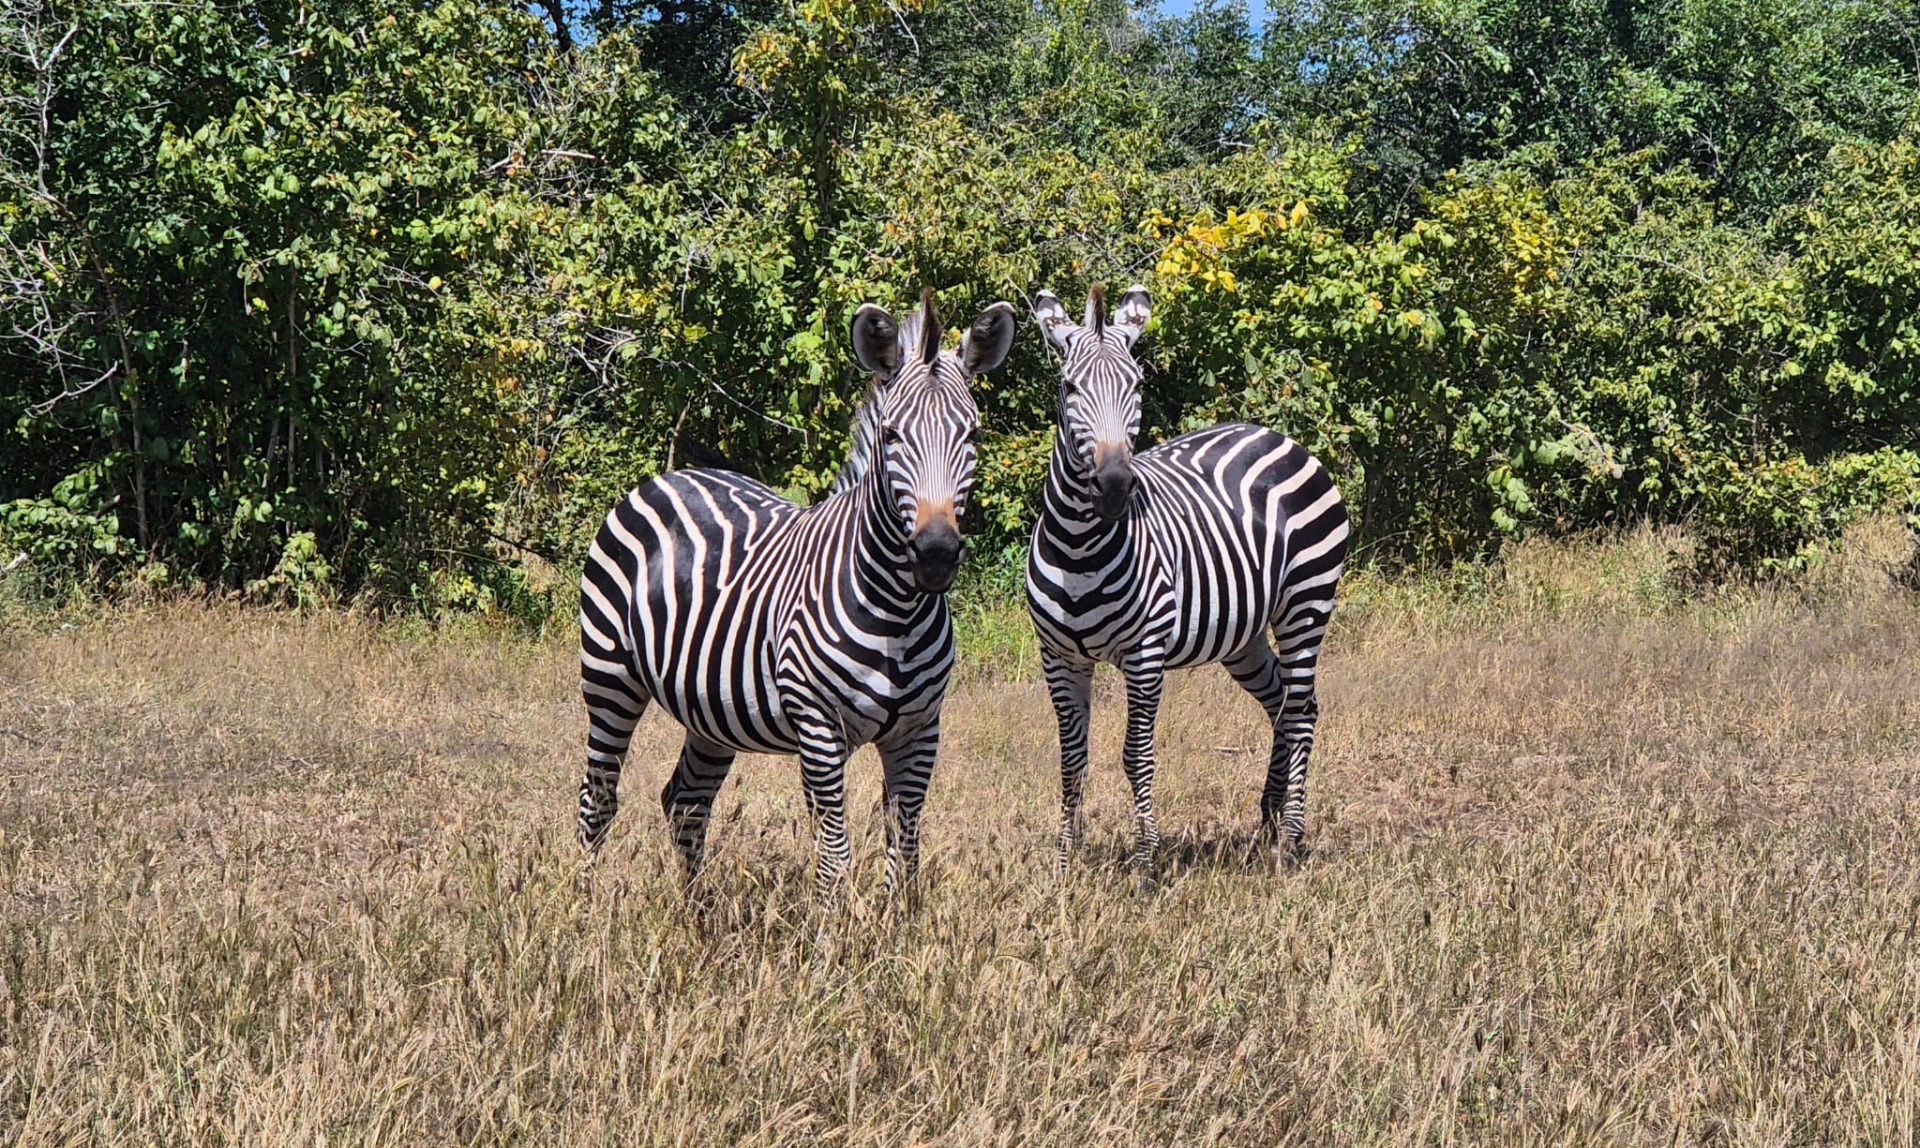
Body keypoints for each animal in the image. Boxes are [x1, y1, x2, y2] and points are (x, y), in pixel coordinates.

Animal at [576, 291, 1016, 895]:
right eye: (891, 436)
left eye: (972, 436)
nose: (935, 554)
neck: (898, 611)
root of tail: (674, 475)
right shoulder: (819, 727)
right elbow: (834, 857)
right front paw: (831, 925)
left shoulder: (921, 730)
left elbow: (905, 855)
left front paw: (895, 923)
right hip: (610, 676)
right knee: (597, 797)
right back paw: (583, 900)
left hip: (711, 707)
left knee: (685, 801)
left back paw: (696, 913)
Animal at [1025, 284, 1349, 883]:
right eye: (1069, 387)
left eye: (1137, 385)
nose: (1114, 487)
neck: (1080, 547)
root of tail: (1275, 434)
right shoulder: (1058, 656)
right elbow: (1071, 759)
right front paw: (1063, 865)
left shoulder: (1144, 652)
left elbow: (1136, 755)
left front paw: (1145, 867)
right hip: (1243, 635)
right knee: (1286, 704)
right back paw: (1269, 818)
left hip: (1307, 601)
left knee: (1299, 710)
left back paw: (1289, 843)